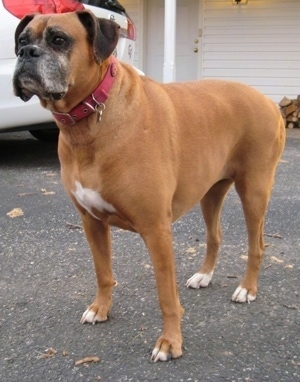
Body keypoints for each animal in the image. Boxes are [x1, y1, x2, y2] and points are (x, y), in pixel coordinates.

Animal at [13, 9, 286, 362]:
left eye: (59, 39)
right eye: (21, 39)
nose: (25, 53)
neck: (91, 117)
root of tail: (267, 100)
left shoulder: (156, 230)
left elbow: (166, 296)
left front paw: (170, 342)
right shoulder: (92, 223)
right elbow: (103, 273)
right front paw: (101, 309)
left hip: (254, 191)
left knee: (257, 244)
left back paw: (247, 288)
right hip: (210, 193)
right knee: (215, 235)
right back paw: (204, 275)